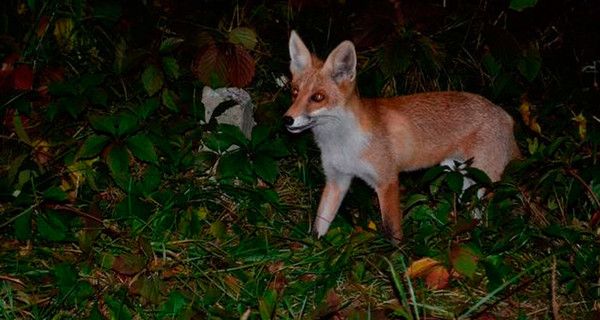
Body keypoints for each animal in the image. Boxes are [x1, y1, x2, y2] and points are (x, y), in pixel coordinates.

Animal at [282, 31, 520, 241]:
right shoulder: (336, 180)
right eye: (294, 92)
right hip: (460, 177)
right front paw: (314, 249)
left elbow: (392, 232)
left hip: (483, 183)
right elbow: (318, 227)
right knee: (475, 214)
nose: (287, 119)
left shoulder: (387, 181)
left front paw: (397, 260)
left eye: (317, 97)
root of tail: (504, 113)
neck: (342, 143)